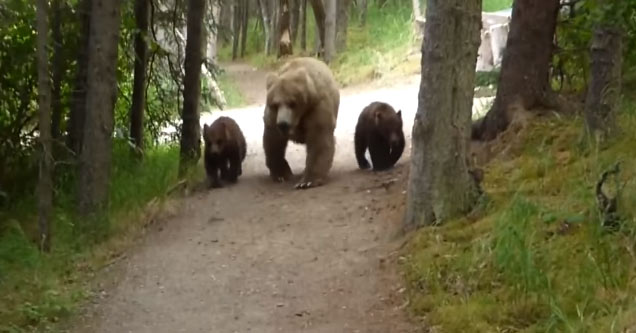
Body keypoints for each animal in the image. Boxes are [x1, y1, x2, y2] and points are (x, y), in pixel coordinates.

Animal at [262, 57, 340, 189]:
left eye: (292, 103)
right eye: (275, 104)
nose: (283, 123)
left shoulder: (316, 108)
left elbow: (319, 140)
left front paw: (307, 181)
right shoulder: (273, 117)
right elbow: (273, 141)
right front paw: (281, 174)